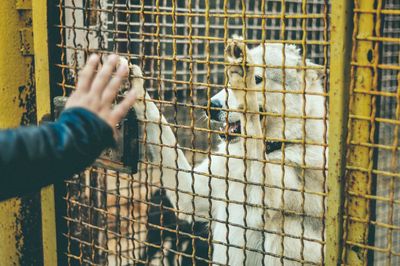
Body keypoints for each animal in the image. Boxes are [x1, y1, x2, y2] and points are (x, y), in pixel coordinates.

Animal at [130, 35, 326, 266]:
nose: (210, 107)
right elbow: (157, 119)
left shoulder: (264, 196)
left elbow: (252, 120)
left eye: (258, 78)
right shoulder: (190, 192)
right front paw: (134, 84)